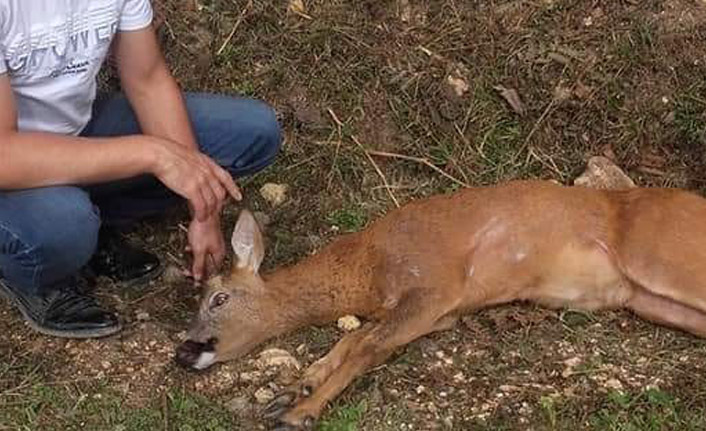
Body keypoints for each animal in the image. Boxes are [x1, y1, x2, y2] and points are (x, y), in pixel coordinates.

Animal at [175, 179, 704, 431]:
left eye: (218, 297)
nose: (184, 349)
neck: (368, 266)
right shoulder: (442, 312)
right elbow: (356, 337)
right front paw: (297, 385)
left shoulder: (435, 284)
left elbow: (367, 347)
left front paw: (300, 411)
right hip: (650, 300)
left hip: (662, 259)